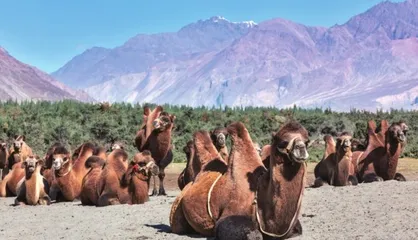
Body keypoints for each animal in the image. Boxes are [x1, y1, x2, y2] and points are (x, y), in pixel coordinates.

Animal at [168, 122, 308, 238]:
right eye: (282, 142)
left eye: (306, 141)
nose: (301, 148)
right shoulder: (230, 213)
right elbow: (254, 235)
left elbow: (298, 229)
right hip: (177, 213)